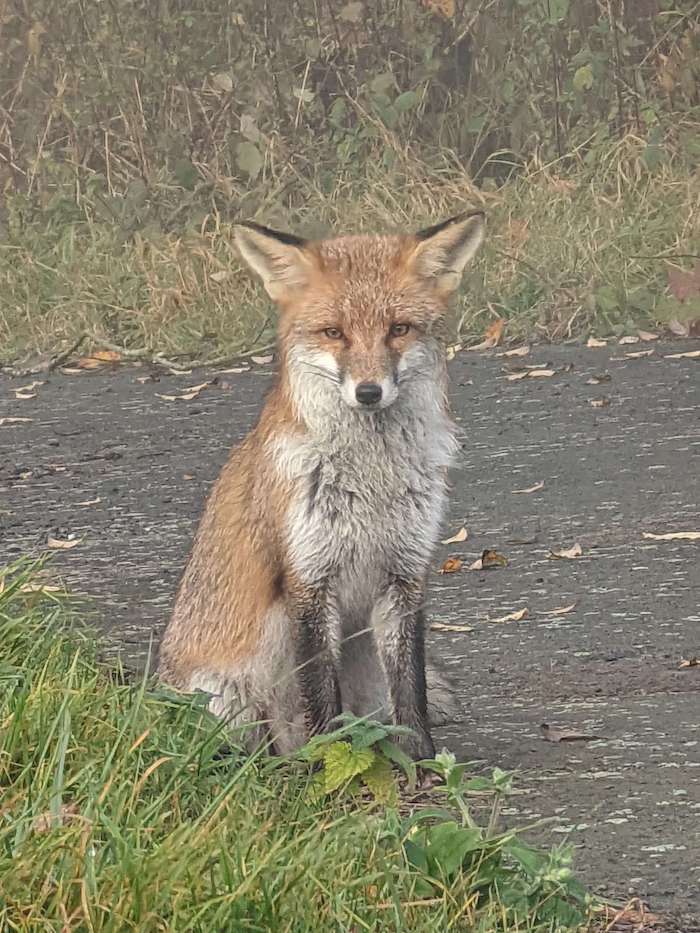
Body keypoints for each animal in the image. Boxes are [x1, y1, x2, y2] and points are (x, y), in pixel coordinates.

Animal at [158, 210, 486, 760]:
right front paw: (332, 765)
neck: (372, 481)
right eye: (335, 332)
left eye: (398, 329)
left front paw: (423, 765)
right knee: (261, 739)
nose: (369, 391)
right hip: (242, 674)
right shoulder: (308, 579)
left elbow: (411, 692)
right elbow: (320, 699)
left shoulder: (405, 574)